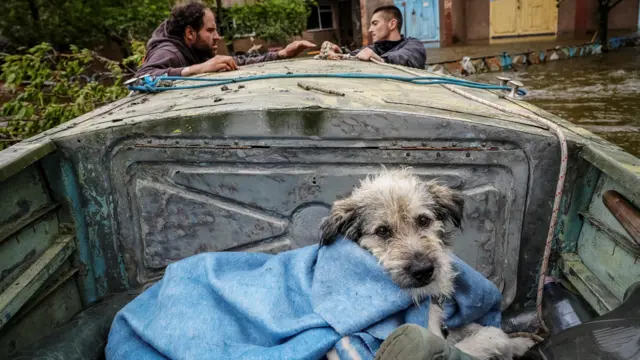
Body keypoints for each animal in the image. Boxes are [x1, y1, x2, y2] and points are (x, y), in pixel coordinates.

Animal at [320, 169, 536, 360]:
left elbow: (468, 327)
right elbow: (489, 337)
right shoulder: (430, 343)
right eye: (382, 231)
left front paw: (518, 343)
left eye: (423, 220)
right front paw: (506, 344)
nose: (423, 270)